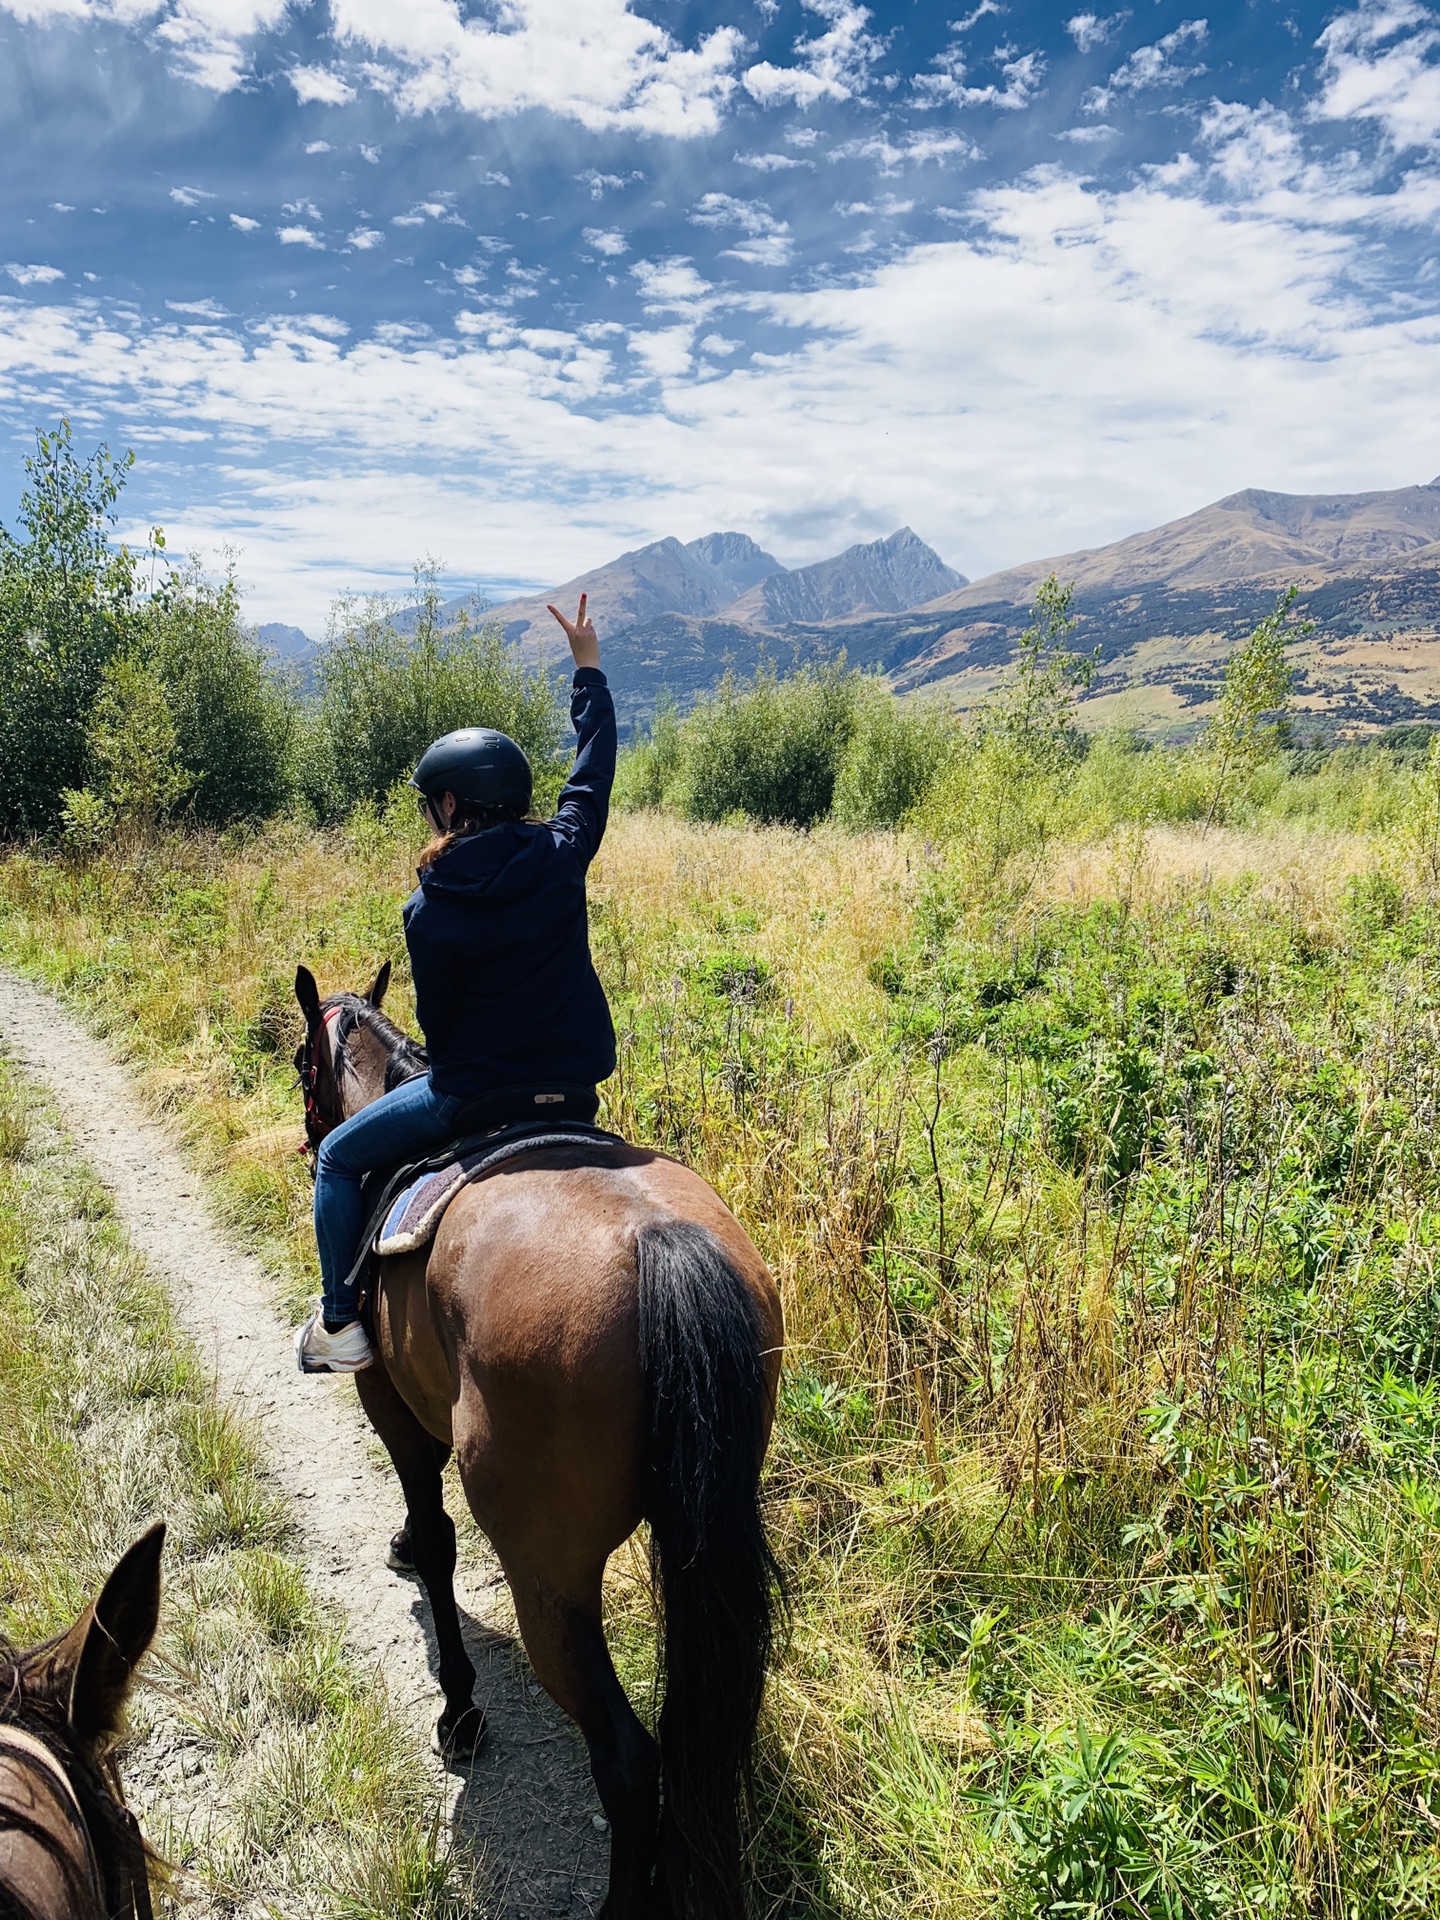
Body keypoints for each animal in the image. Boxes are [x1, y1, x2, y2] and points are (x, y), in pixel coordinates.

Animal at [295, 967, 791, 1920]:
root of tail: (658, 1243)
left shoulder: (390, 1404)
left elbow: (439, 1539)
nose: (310, 1141)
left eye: (303, 1062)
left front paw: (458, 1709)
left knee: (629, 1758)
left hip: (548, 1574)